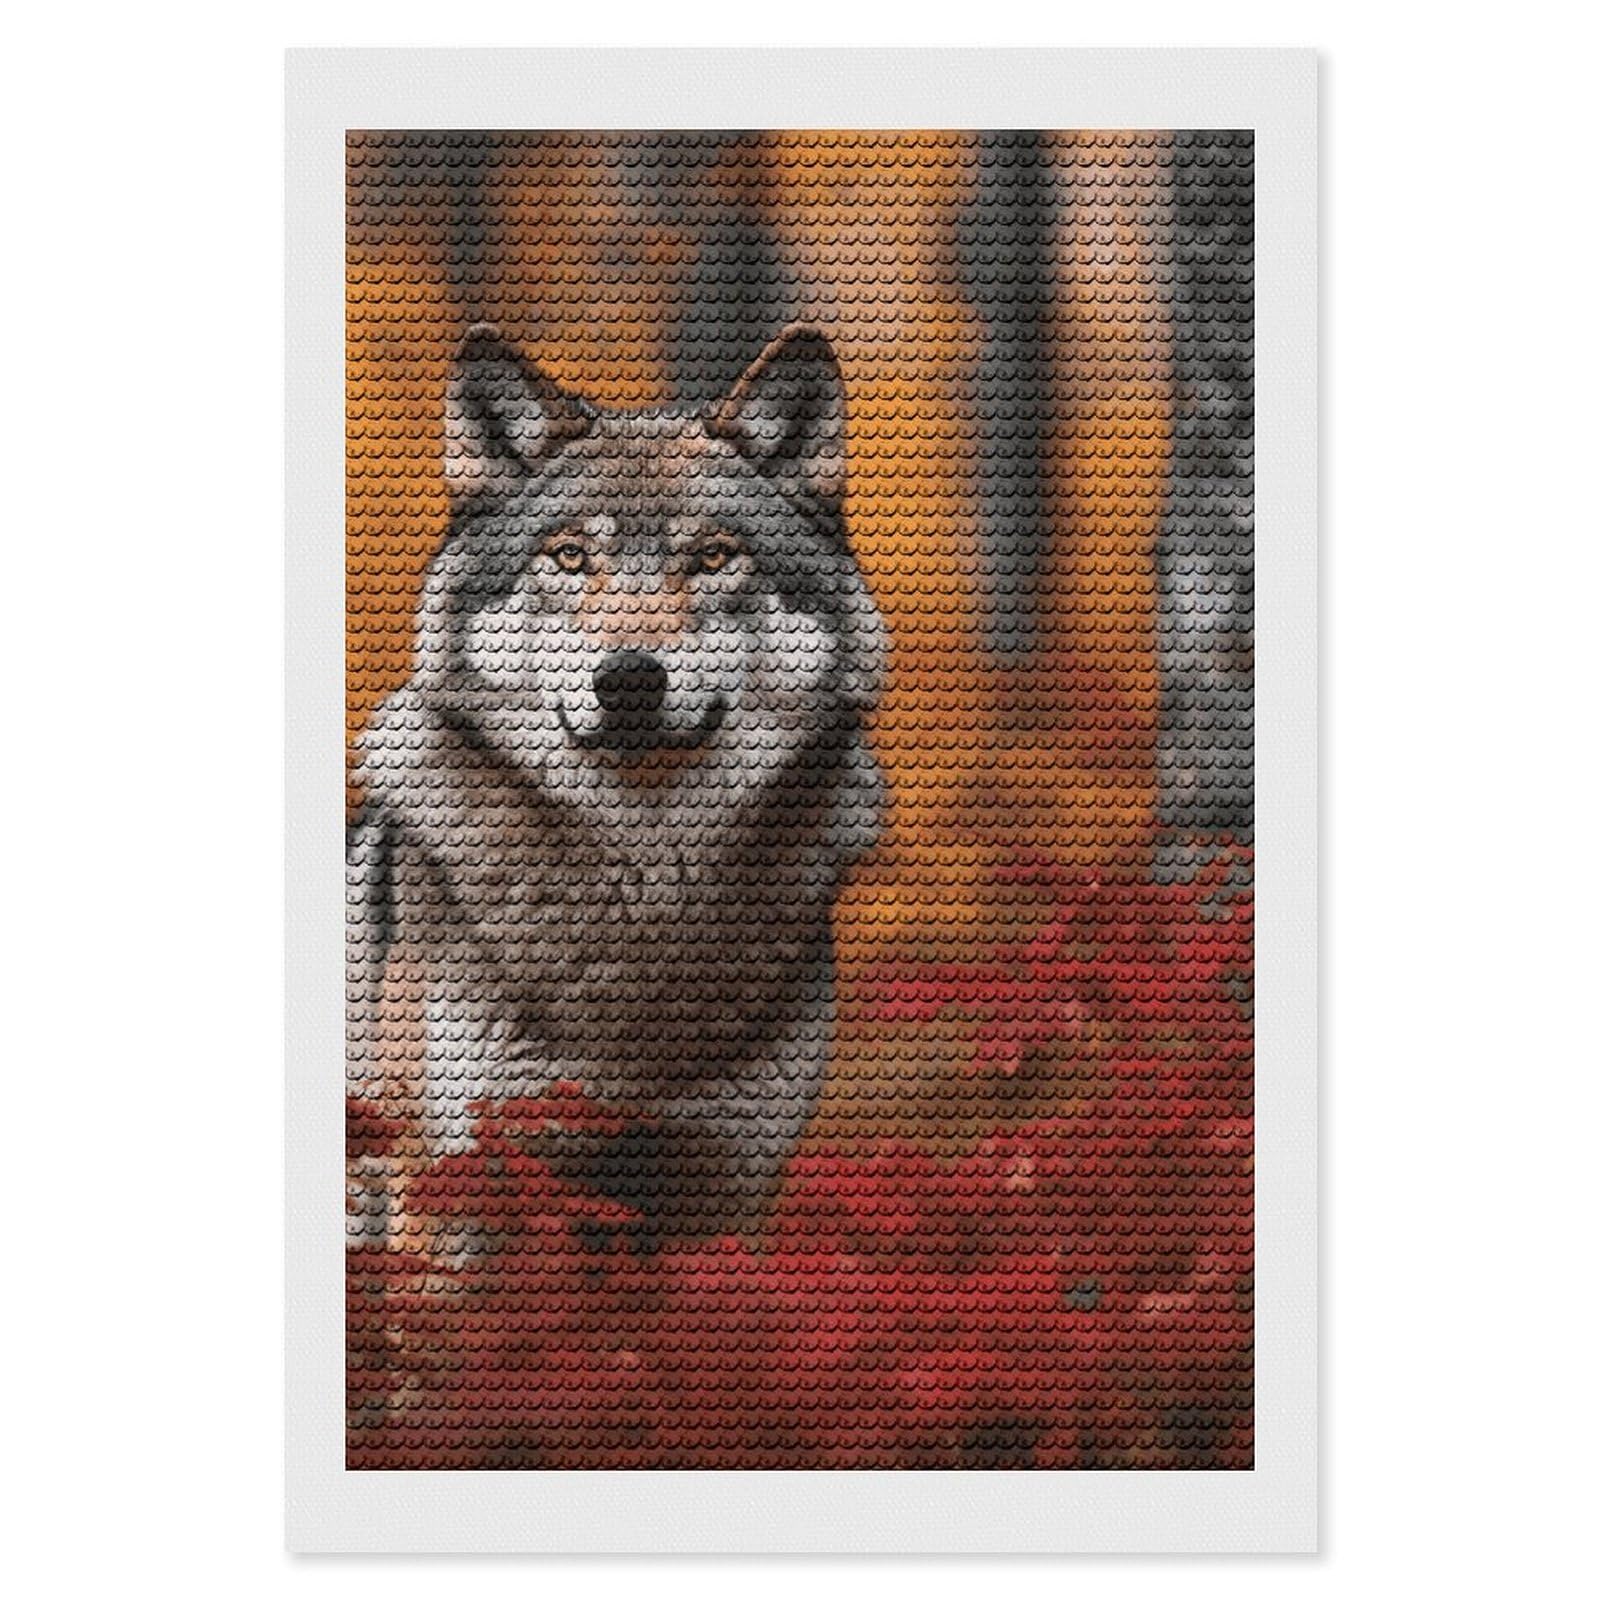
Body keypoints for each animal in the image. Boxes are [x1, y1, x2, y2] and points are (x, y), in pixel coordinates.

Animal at [347, 323, 888, 1249]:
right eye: (570, 557)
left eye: (712, 557)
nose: (629, 679)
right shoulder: (448, 1189)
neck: (644, 882)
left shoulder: (726, 1193)